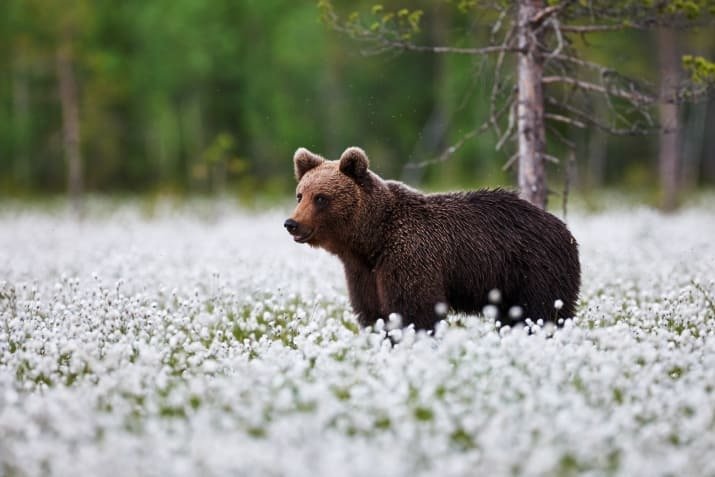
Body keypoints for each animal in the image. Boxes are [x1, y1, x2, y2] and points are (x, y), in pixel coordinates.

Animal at [286, 147, 580, 330]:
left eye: (321, 198)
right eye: (300, 195)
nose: (292, 224)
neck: (371, 241)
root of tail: (564, 228)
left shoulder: (409, 257)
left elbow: (414, 311)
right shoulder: (362, 273)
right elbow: (374, 312)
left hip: (534, 270)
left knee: (543, 312)